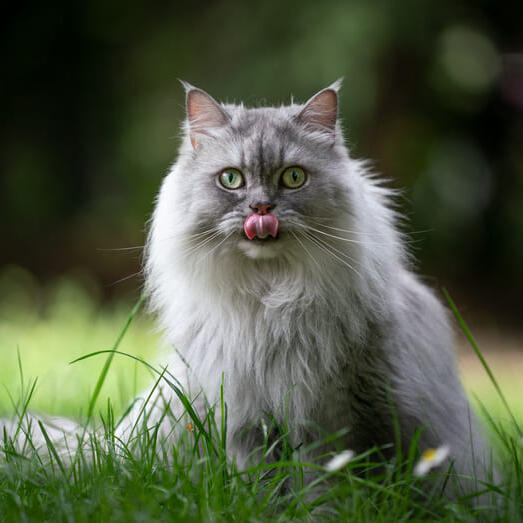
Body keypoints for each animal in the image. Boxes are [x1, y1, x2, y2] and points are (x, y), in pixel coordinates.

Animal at [140, 80, 496, 494]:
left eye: (293, 178)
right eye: (231, 179)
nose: (261, 209)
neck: (269, 300)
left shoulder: (348, 416)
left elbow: (331, 486)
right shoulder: (249, 418)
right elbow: (263, 486)